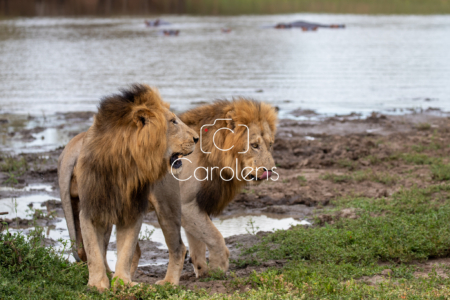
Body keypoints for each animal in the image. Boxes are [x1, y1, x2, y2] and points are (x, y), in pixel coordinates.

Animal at [57, 85, 198, 292]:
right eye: (173, 121)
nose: (197, 138)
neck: (123, 164)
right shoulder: (91, 210)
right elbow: (93, 251)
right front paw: (98, 284)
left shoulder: (132, 210)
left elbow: (125, 249)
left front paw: (122, 282)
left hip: (167, 206)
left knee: (179, 247)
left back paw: (168, 283)